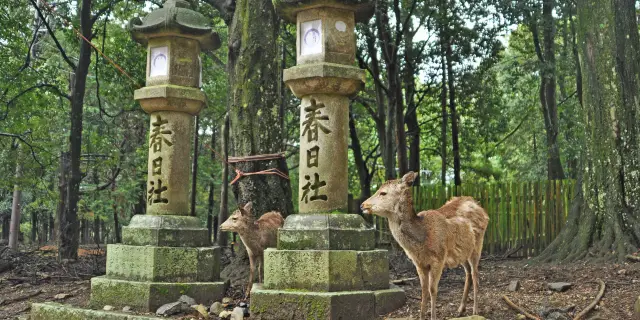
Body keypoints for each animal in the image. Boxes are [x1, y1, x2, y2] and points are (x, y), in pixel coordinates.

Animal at [360, 172, 490, 320]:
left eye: (383, 192)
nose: (362, 205)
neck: (421, 242)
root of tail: (480, 207)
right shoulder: (419, 263)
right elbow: (423, 290)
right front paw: (422, 316)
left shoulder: (439, 259)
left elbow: (432, 289)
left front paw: (433, 316)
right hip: (462, 252)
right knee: (468, 272)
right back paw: (460, 309)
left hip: (478, 245)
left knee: (475, 274)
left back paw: (475, 310)